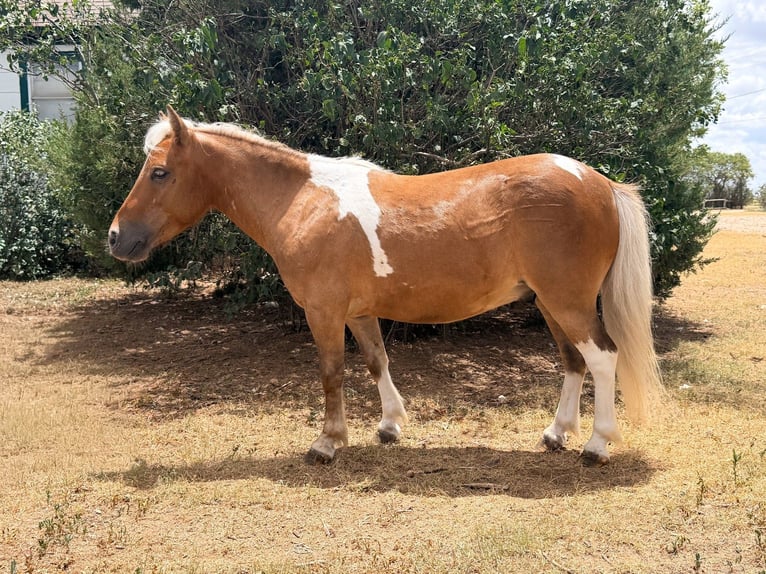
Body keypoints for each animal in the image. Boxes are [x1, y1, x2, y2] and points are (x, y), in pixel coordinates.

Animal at [109, 106, 662, 466]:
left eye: (159, 172)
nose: (116, 237)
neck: (302, 201)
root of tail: (600, 182)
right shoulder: (358, 311)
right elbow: (378, 361)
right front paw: (390, 425)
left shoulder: (324, 312)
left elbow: (332, 373)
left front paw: (328, 443)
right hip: (549, 303)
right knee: (573, 362)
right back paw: (555, 435)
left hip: (568, 302)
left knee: (602, 358)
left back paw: (596, 445)